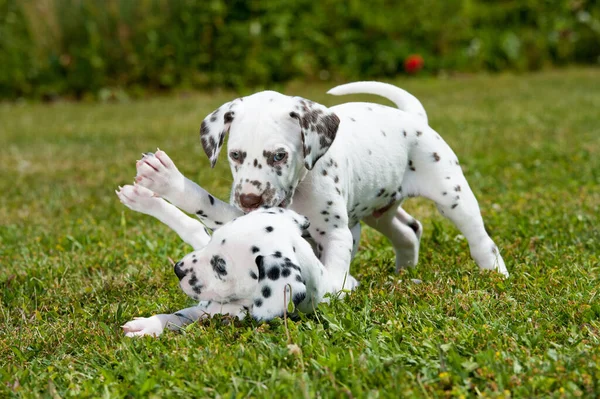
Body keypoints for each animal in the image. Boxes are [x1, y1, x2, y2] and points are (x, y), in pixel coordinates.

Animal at [115, 184, 326, 338]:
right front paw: (151, 323)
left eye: (220, 266)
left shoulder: (214, 313)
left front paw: (149, 327)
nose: (177, 269)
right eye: (214, 240)